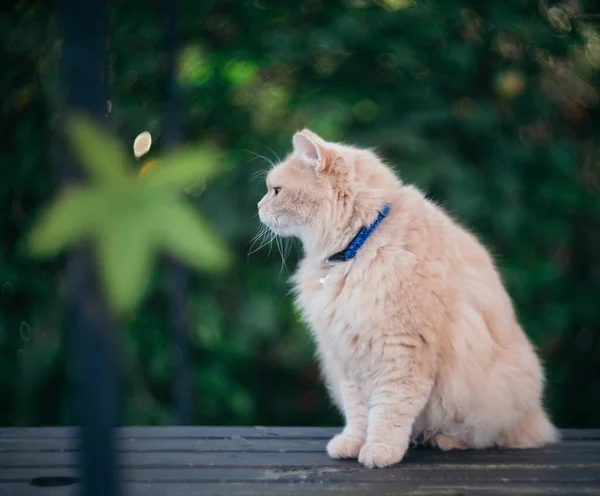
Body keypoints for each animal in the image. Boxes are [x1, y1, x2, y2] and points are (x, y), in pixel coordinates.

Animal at [256, 129, 556, 468]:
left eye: (276, 191)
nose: (258, 207)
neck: (358, 246)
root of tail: (537, 418)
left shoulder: (401, 354)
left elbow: (388, 412)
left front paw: (379, 451)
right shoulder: (349, 363)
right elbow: (358, 415)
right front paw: (351, 445)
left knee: (486, 434)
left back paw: (446, 441)